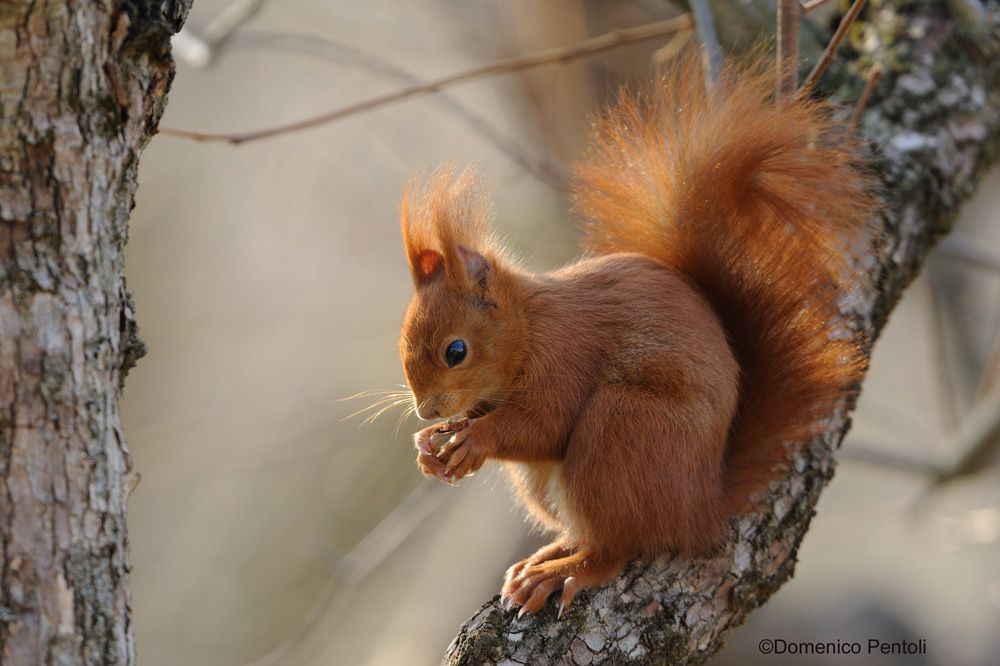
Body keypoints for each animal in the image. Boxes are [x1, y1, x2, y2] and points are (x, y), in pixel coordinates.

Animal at [397, 53, 875, 617]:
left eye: (456, 351)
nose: (426, 411)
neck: (529, 325)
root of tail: (701, 506)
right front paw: (431, 445)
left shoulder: (566, 354)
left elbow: (545, 422)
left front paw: (475, 438)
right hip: (552, 480)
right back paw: (549, 554)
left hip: (623, 430)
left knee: (615, 546)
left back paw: (561, 572)